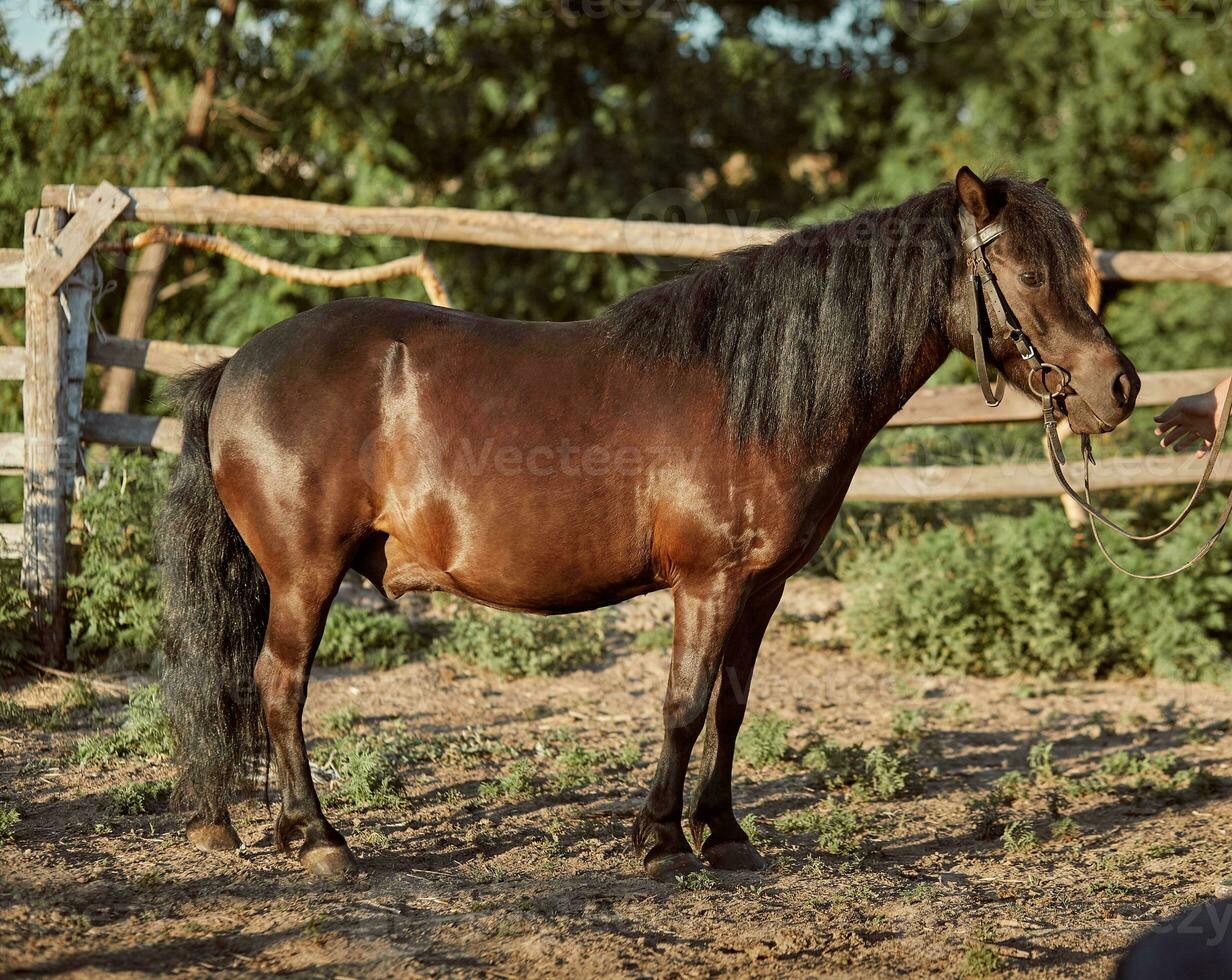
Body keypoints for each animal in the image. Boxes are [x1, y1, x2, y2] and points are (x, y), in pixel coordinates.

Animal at [158, 168, 1138, 882]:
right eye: (1030, 275)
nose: (1119, 386)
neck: (754, 395)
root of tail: (236, 365)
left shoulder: (762, 589)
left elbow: (732, 708)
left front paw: (727, 835)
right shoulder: (707, 584)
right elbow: (683, 705)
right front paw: (661, 841)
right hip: (304, 575)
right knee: (280, 686)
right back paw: (319, 840)